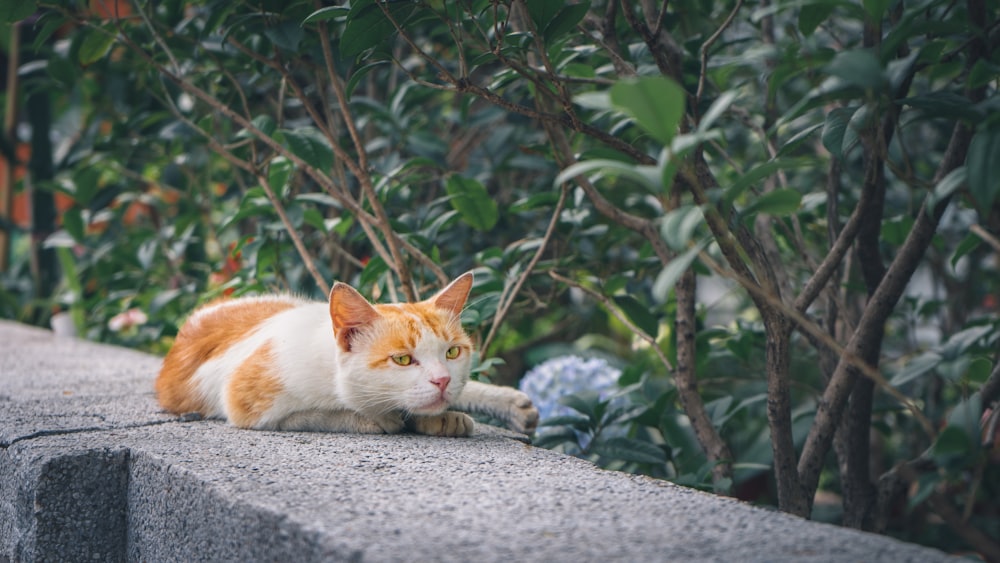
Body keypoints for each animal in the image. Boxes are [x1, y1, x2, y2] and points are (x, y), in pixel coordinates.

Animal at [154, 272, 540, 436]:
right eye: (402, 359)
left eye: (453, 352)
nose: (443, 380)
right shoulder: (247, 402)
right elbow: (314, 415)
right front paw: (376, 418)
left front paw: (443, 416)